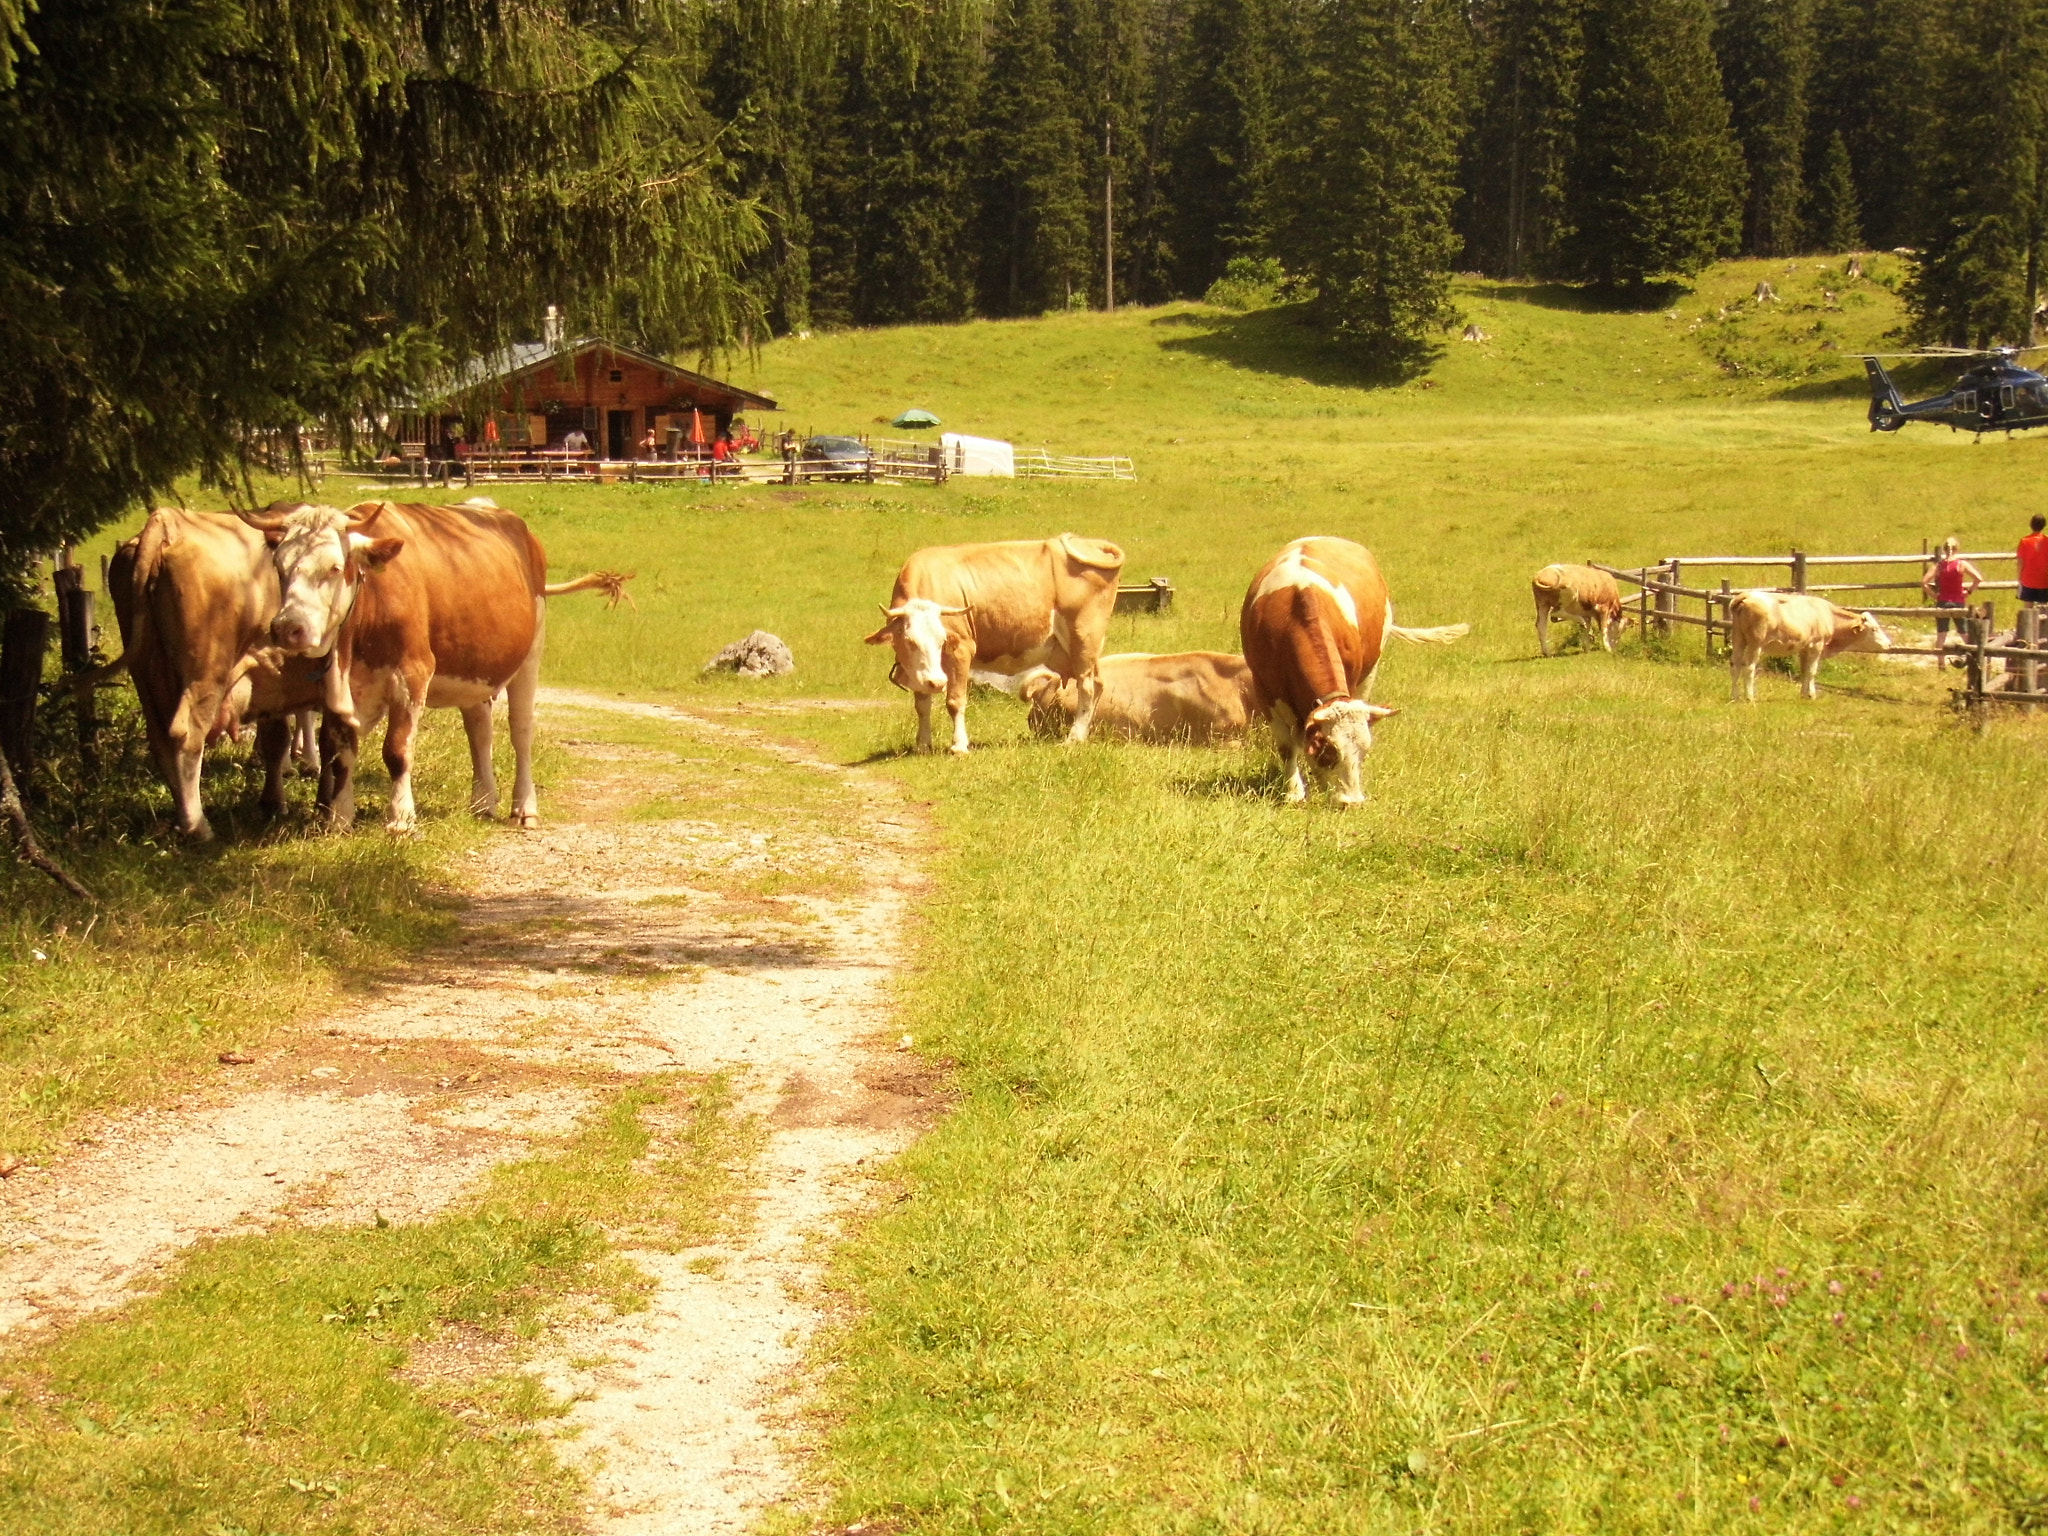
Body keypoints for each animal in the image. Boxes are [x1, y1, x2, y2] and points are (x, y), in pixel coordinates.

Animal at [860, 536, 1122, 753]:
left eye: (943, 639)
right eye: (909, 641)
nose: (938, 682)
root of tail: (1089, 543)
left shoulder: (961, 649)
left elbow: (955, 701)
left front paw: (959, 746)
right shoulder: (920, 671)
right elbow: (922, 704)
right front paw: (923, 744)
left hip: (1084, 638)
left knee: (1087, 687)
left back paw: (1074, 737)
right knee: (1098, 684)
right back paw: (1085, 734)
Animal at [1228, 536, 1474, 806]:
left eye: (1364, 751)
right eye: (1329, 751)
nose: (1352, 802)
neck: (1294, 618)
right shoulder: (1265, 691)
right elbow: (1287, 746)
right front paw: (1294, 792)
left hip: (1371, 670)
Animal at [1728, 593, 1884, 708]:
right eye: (1874, 629)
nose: (1888, 644)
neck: (1829, 615)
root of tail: (1748, 595)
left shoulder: (1804, 648)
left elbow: (1804, 671)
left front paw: (1803, 694)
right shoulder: (1816, 646)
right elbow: (1812, 671)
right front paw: (1812, 695)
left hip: (1738, 640)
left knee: (1735, 665)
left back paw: (1734, 696)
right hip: (1755, 644)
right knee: (1749, 668)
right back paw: (1750, 697)